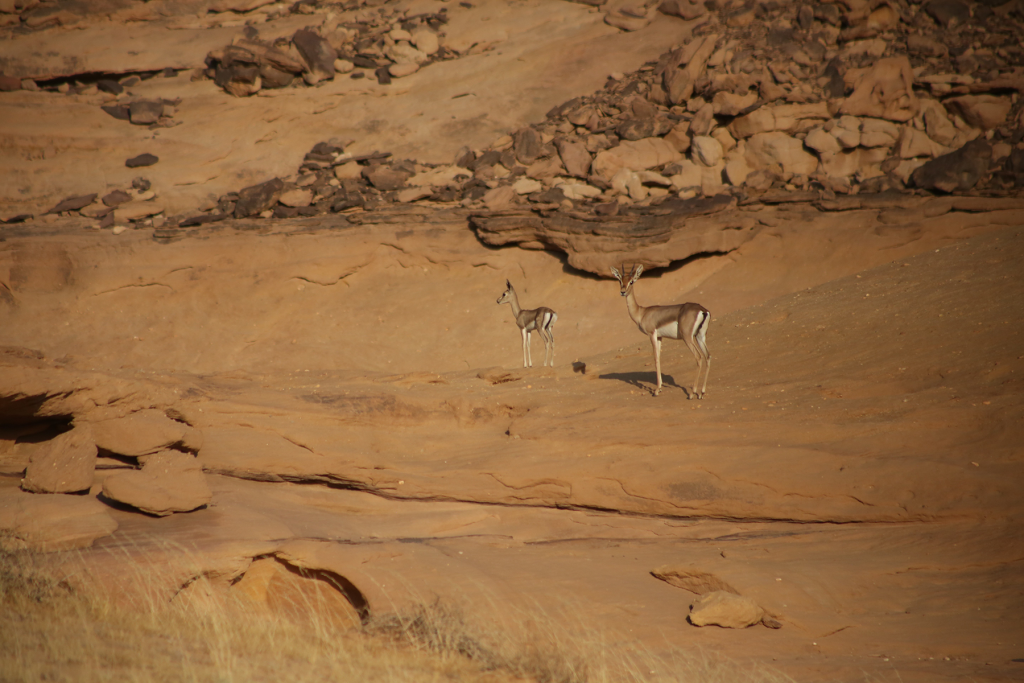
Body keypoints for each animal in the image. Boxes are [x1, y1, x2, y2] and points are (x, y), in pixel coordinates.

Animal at [611, 264, 711, 398]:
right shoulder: (659, 337)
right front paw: (660, 387)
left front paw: (657, 390)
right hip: (700, 337)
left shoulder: (652, 334)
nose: (622, 292)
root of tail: (702, 310)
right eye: (620, 280)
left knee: (699, 357)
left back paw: (692, 393)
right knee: (707, 356)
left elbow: (656, 359)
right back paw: (702, 392)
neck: (641, 313)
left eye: (632, 281)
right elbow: (659, 357)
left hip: (688, 337)